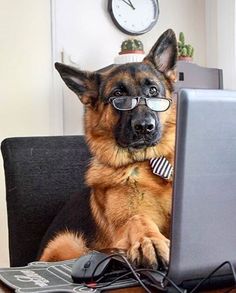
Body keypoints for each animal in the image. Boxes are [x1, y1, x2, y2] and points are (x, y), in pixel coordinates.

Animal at [39, 28, 177, 268]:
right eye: (117, 96)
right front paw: (150, 240)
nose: (145, 127)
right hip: (67, 242)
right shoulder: (123, 228)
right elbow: (138, 218)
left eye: (153, 90)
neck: (147, 165)